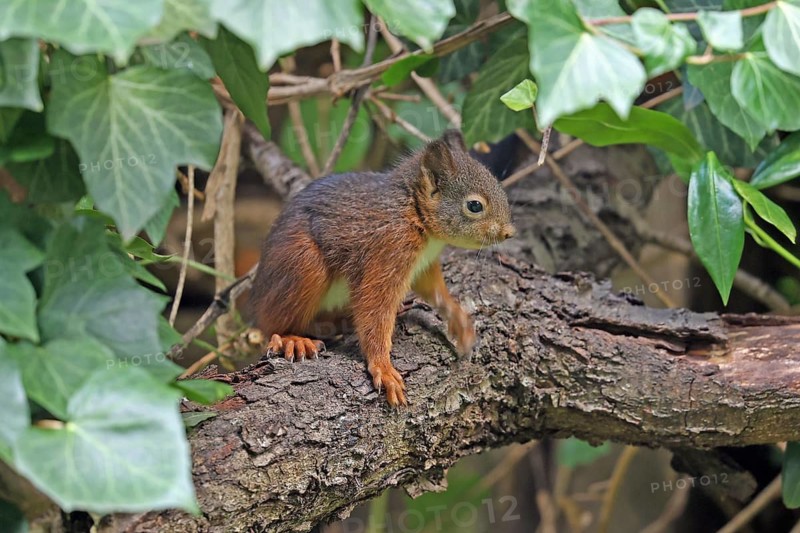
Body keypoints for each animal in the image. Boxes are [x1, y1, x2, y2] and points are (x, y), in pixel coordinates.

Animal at [250, 130, 515, 406]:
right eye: (474, 206)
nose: (509, 233)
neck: (412, 210)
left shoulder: (423, 264)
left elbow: (435, 292)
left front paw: (459, 319)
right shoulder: (388, 250)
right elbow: (374, 307)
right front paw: (383, 367)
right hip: (303, 266)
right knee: (272, 324)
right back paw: (291, 339)